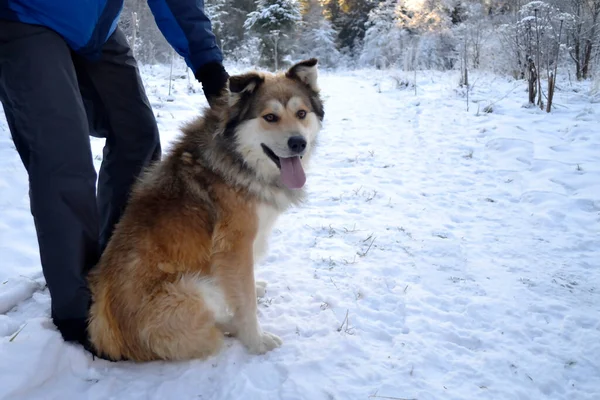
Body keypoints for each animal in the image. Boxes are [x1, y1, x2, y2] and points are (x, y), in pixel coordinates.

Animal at [85, 57, 324, 360]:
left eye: (301, 113)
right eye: (270, 117)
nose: (298, 143)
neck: (237, 157)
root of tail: (108, 337)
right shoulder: (234, 245)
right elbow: (245, 301)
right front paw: (256, 340)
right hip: (191, 288)